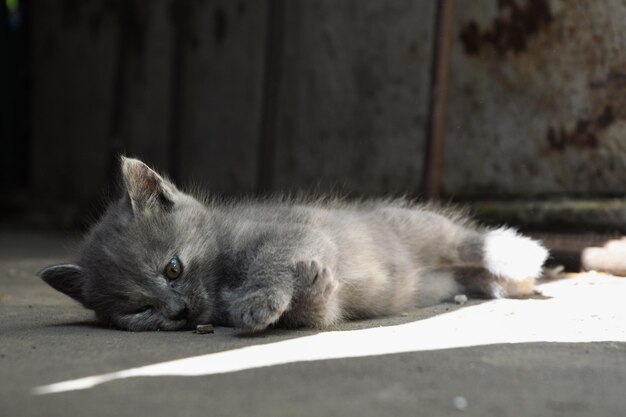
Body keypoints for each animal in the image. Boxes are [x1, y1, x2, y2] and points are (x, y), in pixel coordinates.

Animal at [40, 156, 544, 332]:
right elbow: (319, 311)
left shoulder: (296, 232)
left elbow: (272, 259)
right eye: (139, 309)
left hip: (423, 227)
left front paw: (259, 301)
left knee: (470, 241)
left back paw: (519, 256)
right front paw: (312, 288)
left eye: (173, 268)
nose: (178, 313)